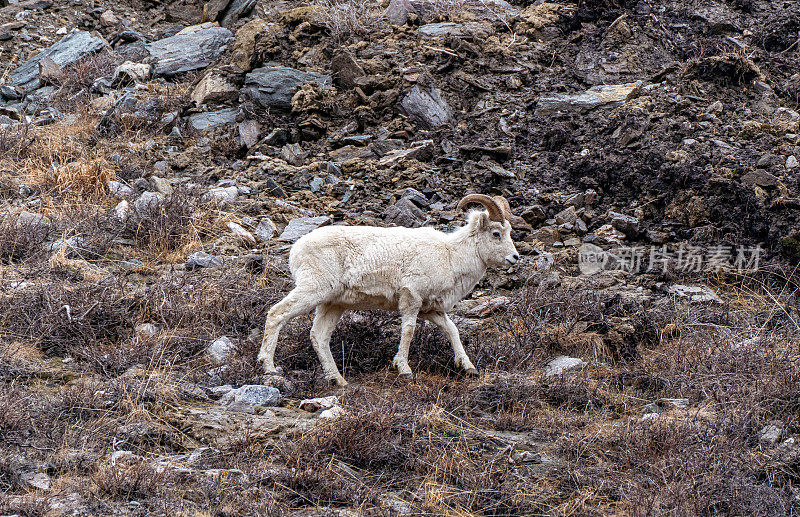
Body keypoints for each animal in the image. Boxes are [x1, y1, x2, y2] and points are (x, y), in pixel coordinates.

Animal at [258, 196, 524, 384]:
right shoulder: (411, 299)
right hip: (312, 291)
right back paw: (269, 368)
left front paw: (468, 367)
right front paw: (404, 370)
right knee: (277, 314)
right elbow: (408, 331)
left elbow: (452, 330)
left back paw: (338, 380)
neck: (450, 255)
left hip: (332, 304)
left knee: (319, 336)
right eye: (496, 234)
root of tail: (297, 249)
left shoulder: (430, 309)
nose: (515, 257)